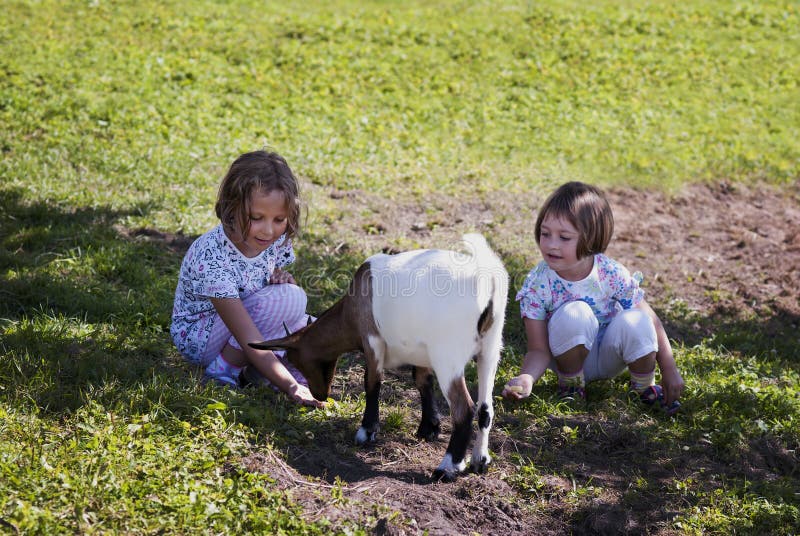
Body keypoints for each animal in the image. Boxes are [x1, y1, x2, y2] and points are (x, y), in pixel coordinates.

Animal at [250, 234, 506, 482]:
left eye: (295, 360)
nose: (320, 395)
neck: (351, 310)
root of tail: (488, 280)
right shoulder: (421, 351)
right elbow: (422, 379)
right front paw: (428, 428)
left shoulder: (372, 339)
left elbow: (372, 381)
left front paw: (367, 431)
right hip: (490, 349)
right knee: (485, 408)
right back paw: (479, 460)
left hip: (447, 355)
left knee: (464, 408)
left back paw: (448, 468)